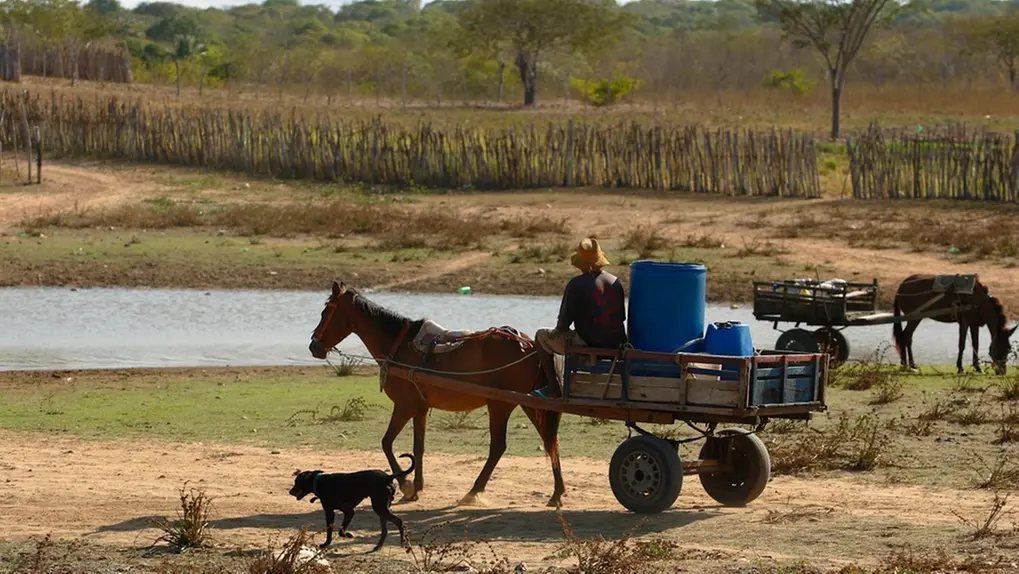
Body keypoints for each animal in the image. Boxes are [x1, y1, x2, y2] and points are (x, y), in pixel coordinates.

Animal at [308, 281, 566, 508]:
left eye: (325, 312)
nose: (313, 347)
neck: (398, 345)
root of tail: (529, 345)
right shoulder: (419, 408)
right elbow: (418, 446)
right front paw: (417, 487)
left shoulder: (404, 405)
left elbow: (387, 442)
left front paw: (406, 485)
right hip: (528, 402)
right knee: (549, 440)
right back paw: (556, 493)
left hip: (500, 405)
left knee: (499, 447)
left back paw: (473, 492)